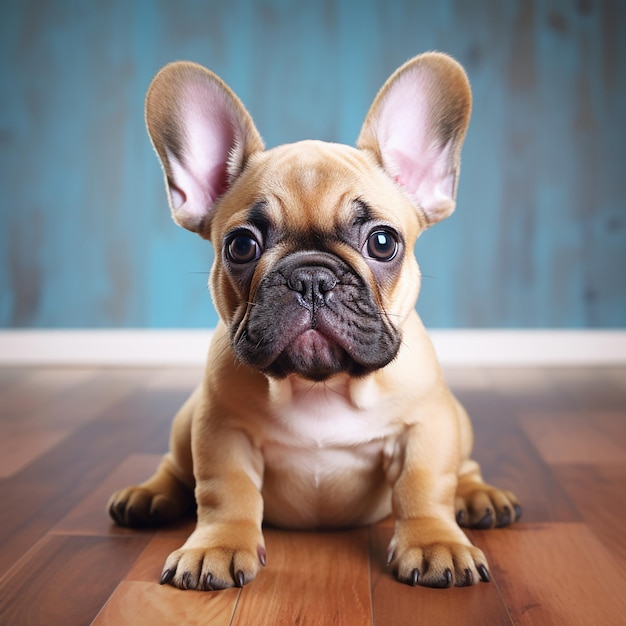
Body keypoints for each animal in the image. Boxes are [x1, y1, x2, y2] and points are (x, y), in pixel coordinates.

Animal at [109, 51, 520, 588]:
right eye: (241, 246)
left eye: (383, 242)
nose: (310, 278)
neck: (320, 387)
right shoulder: (221, 430)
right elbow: (225, 492)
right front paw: (217, 547)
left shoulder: (428, 425)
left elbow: (425, 484)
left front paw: (435, 543)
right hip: (186, 421)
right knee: (176, 467)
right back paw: (148, 494)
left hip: (459, 420)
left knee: (462, 467)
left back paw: (478, 495)